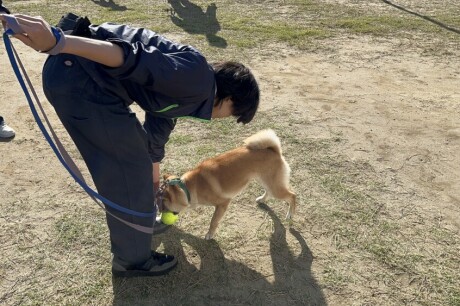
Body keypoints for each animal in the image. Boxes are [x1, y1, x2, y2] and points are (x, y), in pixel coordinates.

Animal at [162, 129, 296, 239]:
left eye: (164, 208)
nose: (161, 220)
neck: (189, 188)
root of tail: (274, 150)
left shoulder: (223, 204)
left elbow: (213, 221)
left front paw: (209, 234)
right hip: (265, 181)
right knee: (269, 191)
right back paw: (262, 199)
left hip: (275, 187)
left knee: (292, 195)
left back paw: (290, 215)